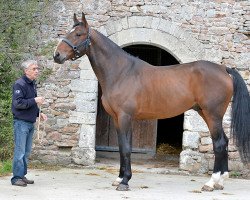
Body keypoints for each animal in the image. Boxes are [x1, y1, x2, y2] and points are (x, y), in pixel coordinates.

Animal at [54, 13, 250, 191]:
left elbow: (126, 148)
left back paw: (211, 183)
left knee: (219, 143)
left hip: (212, 114)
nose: (57, 55)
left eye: (78, 34)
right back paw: (220, 181)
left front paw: (125, 182)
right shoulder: (118, 119)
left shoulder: (125, 117)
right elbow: (122, 147)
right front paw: (120, 178)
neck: (121, 72)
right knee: (224, 141)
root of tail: (224, 69)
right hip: (205, 112)